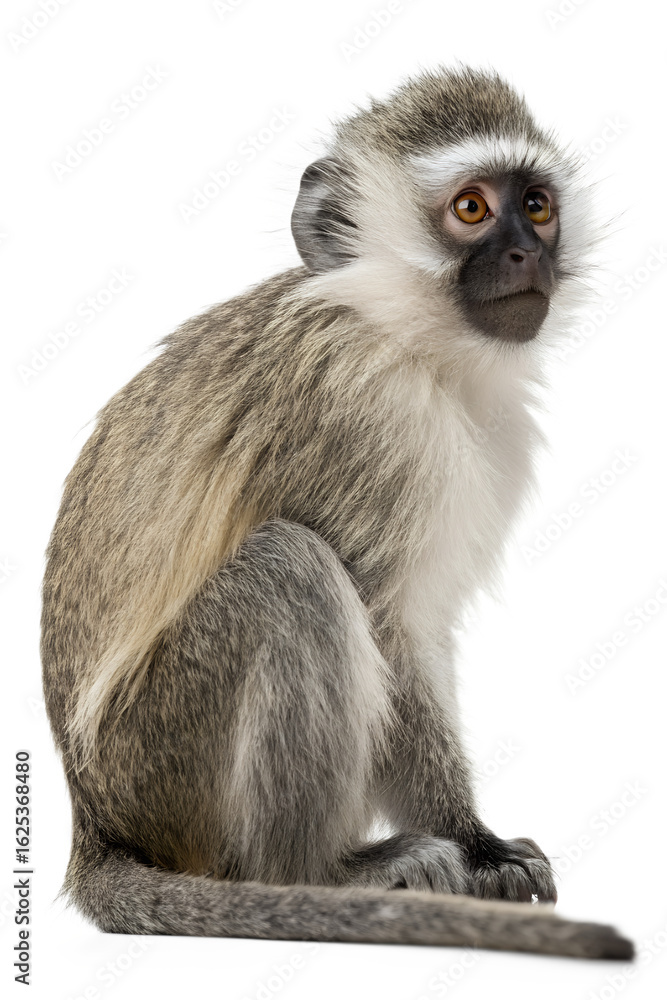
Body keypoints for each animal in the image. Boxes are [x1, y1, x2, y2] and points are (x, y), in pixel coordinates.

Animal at [41, 66, 633, 960]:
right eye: (470, 209)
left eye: (534, 205)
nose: (527, 254)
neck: (398, 330)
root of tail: (94, 820)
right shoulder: (364, 414)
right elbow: (386, 623)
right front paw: (476, 844)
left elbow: (418, 628)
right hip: (161, 761)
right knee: (291, 569)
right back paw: (314, 872)